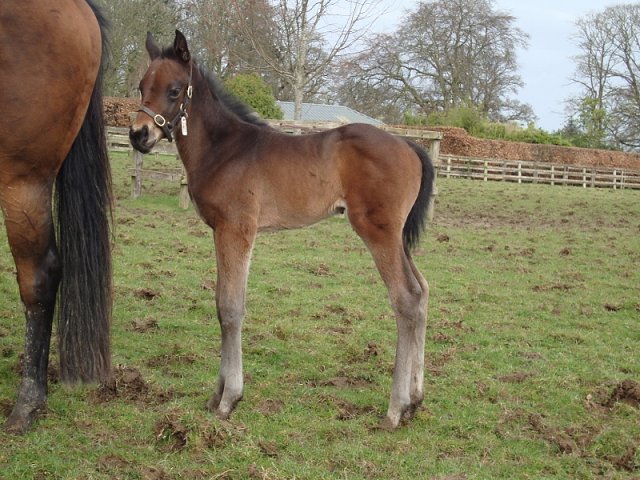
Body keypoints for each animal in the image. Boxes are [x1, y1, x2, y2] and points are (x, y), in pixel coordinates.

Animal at [129, 31, 430, 428]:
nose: (138, 135)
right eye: (141, 86)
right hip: (397, 238)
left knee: (406, 298)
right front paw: (215, 395)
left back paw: (395, 409)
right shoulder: (222, 232)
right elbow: (222, 302)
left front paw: (229, 399)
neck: (225, 149)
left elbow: (230, 308)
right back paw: (414, 401)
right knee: (422, 291)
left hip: (378, 232)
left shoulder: (236, 229)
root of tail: (409, 144)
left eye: (175, 90)